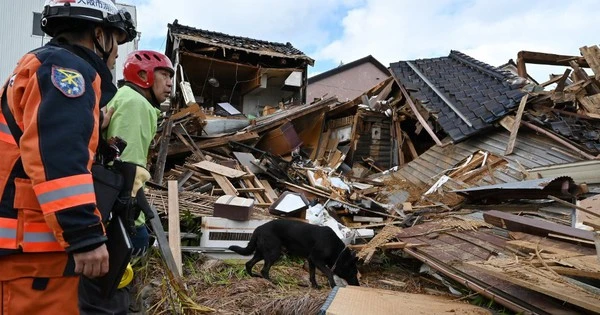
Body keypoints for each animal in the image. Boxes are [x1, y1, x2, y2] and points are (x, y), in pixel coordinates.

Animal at [227, 220, 358, 288]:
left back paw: (254, 277)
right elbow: (329, 273)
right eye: (353, 273)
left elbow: (312, 275)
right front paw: (333, 285)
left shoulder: (311, 261)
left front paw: (315, 286)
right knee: (264, 270)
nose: (357, 284)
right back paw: (272, 282)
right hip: (274, 253)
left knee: (249, 264)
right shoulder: (316, 259)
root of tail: (258, 228)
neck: (338, 252)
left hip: (261, 253)